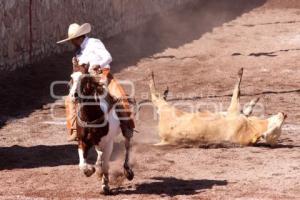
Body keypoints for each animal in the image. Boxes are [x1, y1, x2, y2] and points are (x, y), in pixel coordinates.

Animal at [68, 66, 134, 195]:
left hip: (126, 130)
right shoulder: (82, 142)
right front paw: (90, 170)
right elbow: (82, 164)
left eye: (85, 79)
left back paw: (128, 171)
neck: (91, 117)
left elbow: (105, 165)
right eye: (71, 78)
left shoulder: (108, 143)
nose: (74, 95)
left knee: (127, 146)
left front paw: (105, 186)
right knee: (100, 155)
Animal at [149, 69, 286, 147]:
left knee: (155, 97)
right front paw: (253, 102)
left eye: (277, 129)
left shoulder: (233, 110)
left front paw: (240, 73)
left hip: (167, 110)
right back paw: (164, 92)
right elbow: (244, 106)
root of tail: (166, 139)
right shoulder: (235, 113)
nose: (284, 114)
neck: (252, 127)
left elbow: (237, 90)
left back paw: (151, 77)